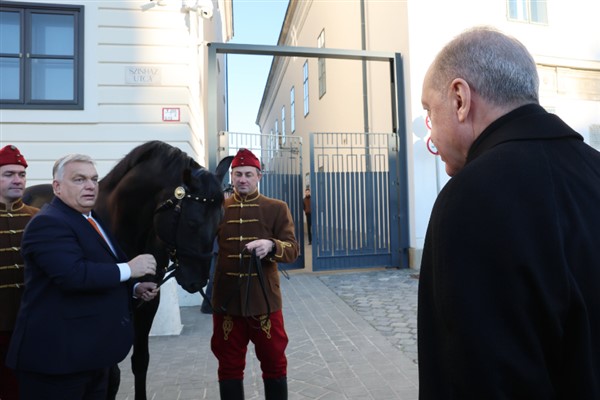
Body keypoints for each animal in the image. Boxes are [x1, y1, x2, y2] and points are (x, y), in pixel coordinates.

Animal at [22, 141, 232, 400]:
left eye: (219, 223)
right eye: (192, 223)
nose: (196, 282)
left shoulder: (148, 301)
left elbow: (140, 361)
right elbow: (110, 375)